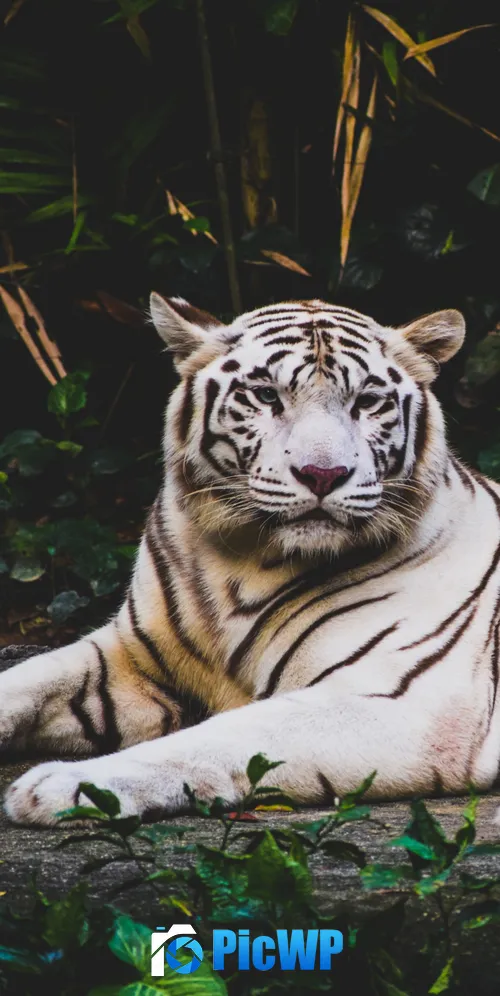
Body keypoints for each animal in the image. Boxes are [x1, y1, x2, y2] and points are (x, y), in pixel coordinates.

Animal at [3, 293, 500, 828]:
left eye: (366, 402)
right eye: (266, 396)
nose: (323, 474)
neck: (243, 560)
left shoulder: (411, 704)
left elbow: (218, 738)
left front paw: (63, 785)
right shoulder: (130, 655)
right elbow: (25, 679)